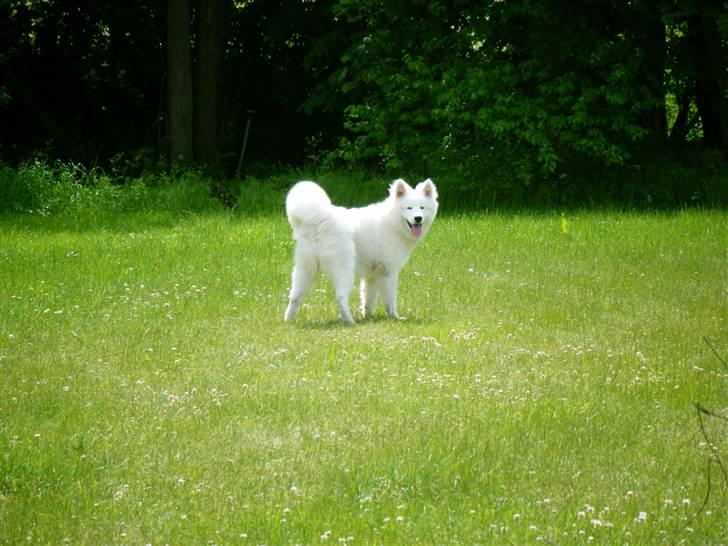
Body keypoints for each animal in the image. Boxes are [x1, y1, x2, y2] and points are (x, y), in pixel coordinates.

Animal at [284, 178, 438, 324]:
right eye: (409, 208)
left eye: (422, 207)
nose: (418, 218)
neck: (392, 221)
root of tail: (320, 219)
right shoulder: (388, 272)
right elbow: (390, 299)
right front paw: (394, 317)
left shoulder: (372, 275)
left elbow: (368, 299)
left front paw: (368, 317)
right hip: (344, 269)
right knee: (340, 297)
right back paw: (350, 321)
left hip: (305, 270)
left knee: (295, 297)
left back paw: (288, 320)